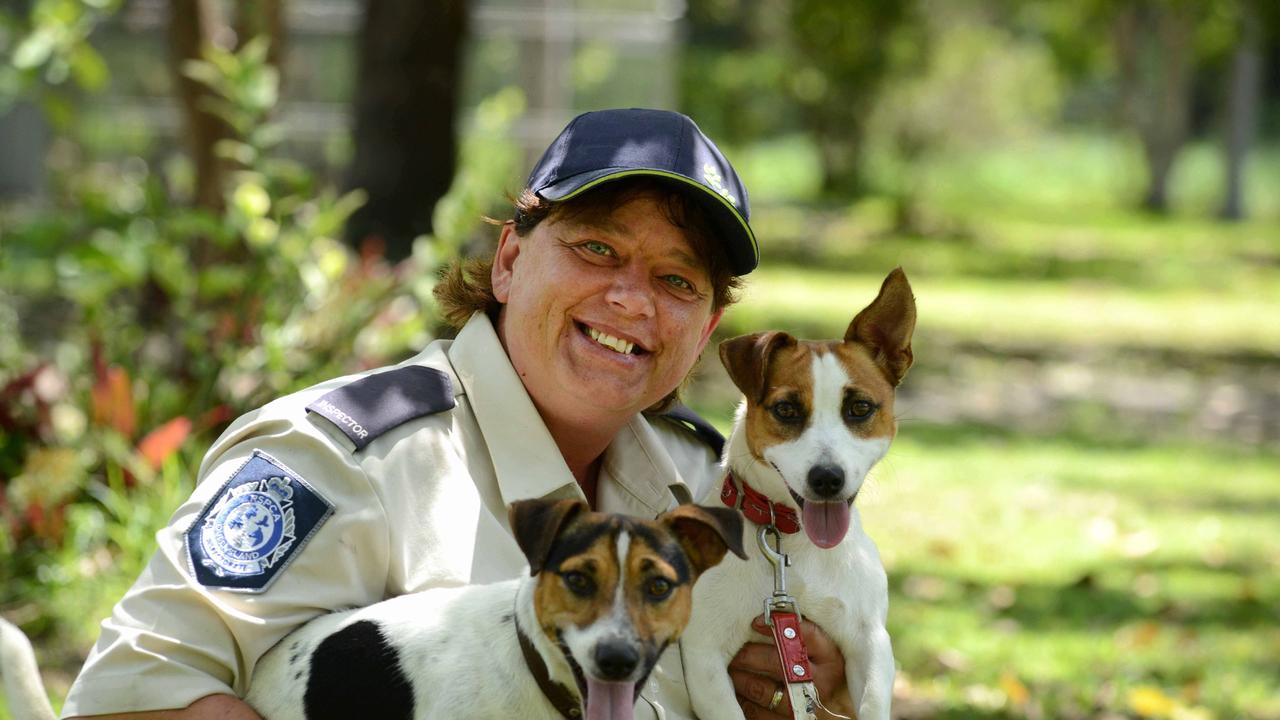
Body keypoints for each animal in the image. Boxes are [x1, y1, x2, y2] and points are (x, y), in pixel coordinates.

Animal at [686, 267, 916, 717]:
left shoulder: (870, 644)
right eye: (787, 410)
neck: (791, 542)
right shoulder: (704, 656)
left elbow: (871, 701)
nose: (826, 478)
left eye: (860, 408)